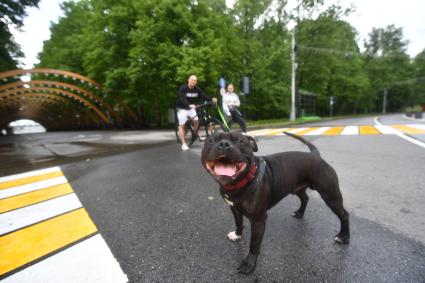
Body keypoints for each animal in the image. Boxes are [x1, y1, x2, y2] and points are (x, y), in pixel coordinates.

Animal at [201, 133, 348, 276]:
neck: (237, 184)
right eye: (211, 140)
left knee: (344, 214)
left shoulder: (258, 220)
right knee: (305, 198)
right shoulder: (234, 209)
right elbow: (238, 222)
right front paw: (237, 234)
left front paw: (249, 264)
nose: (224, 144)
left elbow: (254, 244)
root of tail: (315, 155)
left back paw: (343, 237)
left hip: (330, 195)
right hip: (297, 188)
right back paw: (299, 213)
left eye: (239, 141)